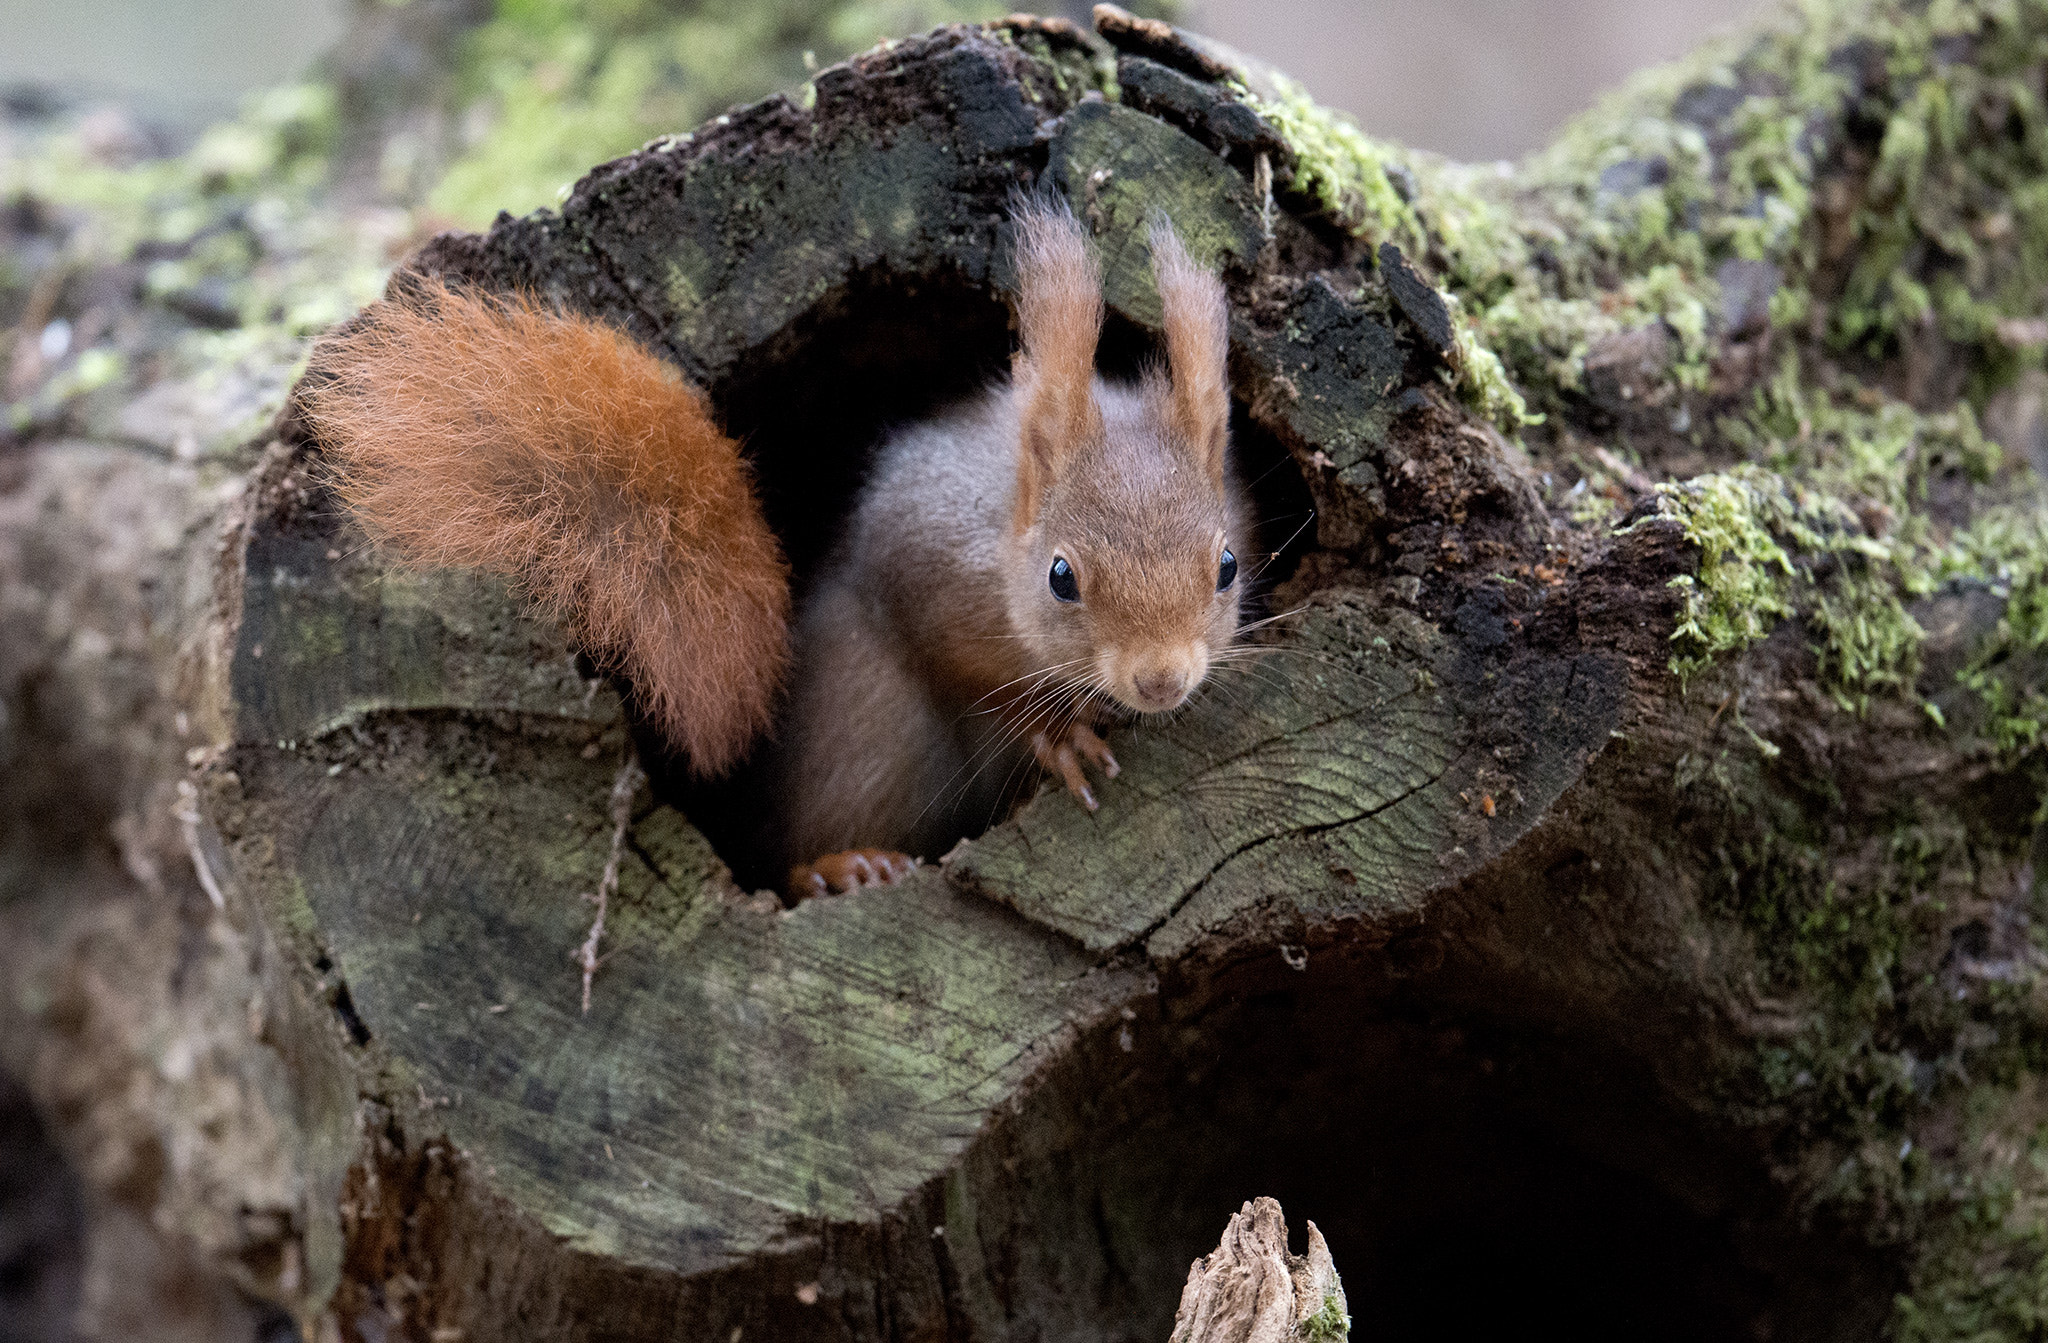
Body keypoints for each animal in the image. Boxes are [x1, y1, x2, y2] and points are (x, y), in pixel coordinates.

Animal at [303, 201, 1245, 892]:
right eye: (1061, 578)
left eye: (1228, 565)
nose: (1161, 679)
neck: (1004, 511)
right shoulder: (924, 556)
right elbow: (967, 669)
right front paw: (1056, 734)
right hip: (864, 726)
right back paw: (839, 868)